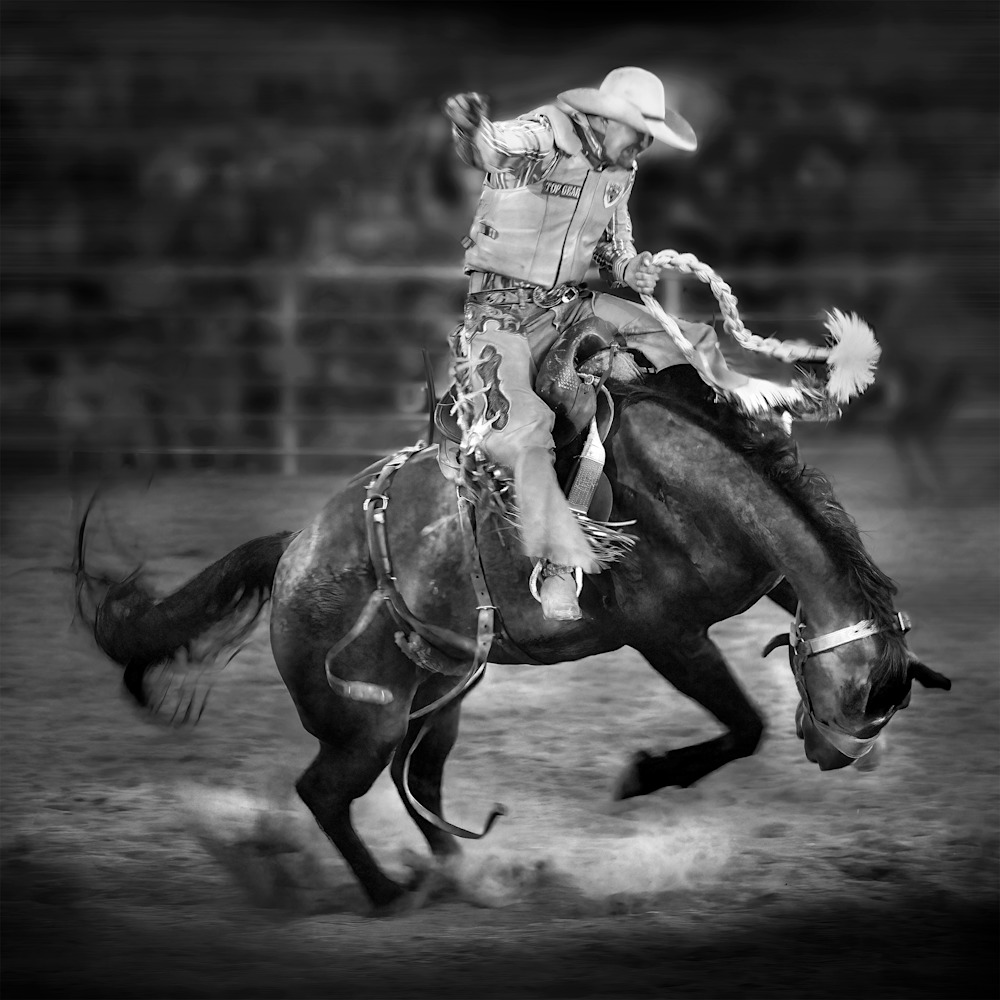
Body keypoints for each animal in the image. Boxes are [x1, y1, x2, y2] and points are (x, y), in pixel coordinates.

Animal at [75, 359, 951, 917]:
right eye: (858, 698)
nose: (835, 756)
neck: (692, 487)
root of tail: (295, 552)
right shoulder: (668, 636)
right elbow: (742, 726)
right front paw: (643, 775)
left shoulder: (763, 582)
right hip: (366, 722)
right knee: (325, 792)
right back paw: (391, 896)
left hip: (440, 697)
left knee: (421, 787)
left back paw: (467, 878)